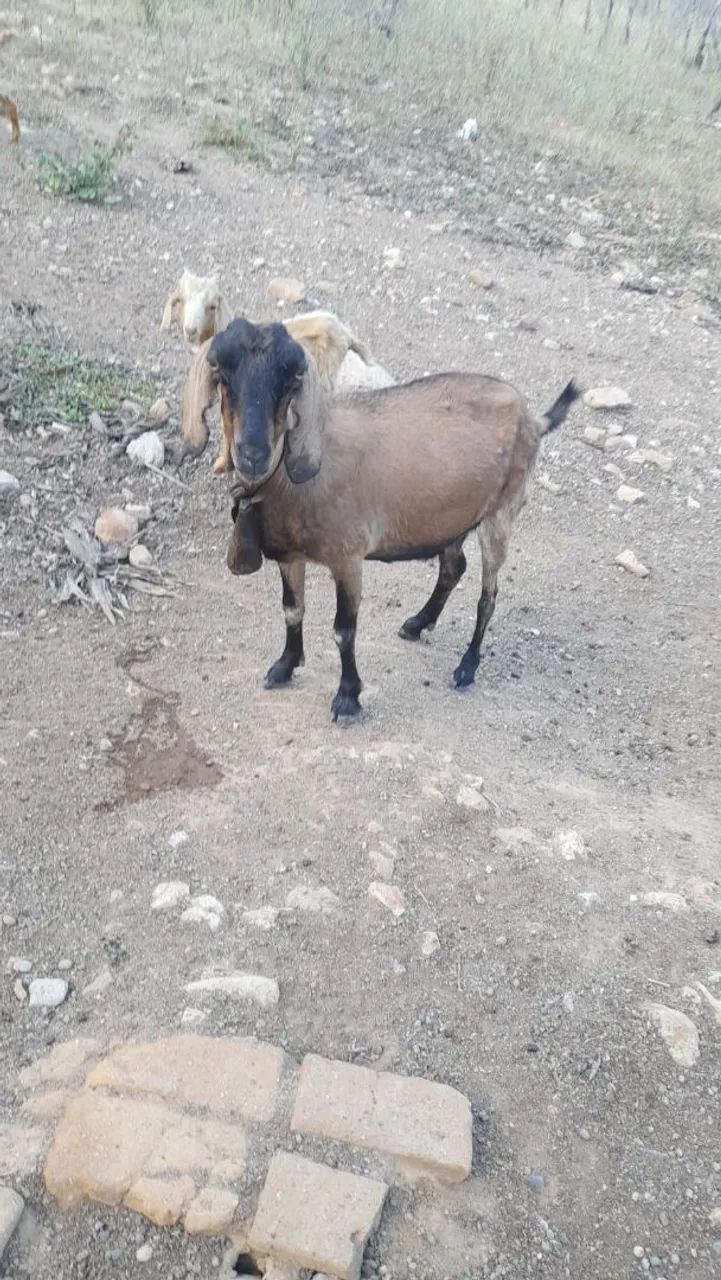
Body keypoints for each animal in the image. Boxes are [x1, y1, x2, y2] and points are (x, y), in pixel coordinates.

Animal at [181, 318, 580, 720]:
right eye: (224, 377)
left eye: (290, 382)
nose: (253, 453)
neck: (290, 481)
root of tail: (532, 416)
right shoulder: (289, 556)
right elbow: (292, 610)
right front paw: (284, 666)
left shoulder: (348, 558)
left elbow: (344, 631)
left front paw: (347, 697)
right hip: (453, 517)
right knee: (453, 567)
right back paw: (417, 623)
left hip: (500, 514)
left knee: (489, 595)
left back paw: (466, 667)